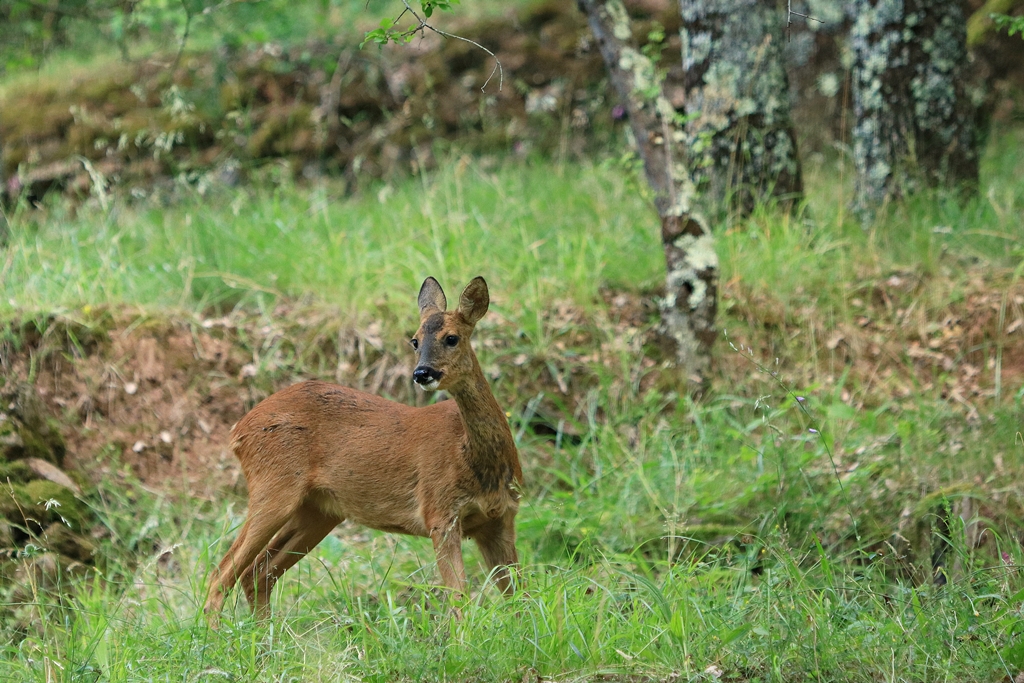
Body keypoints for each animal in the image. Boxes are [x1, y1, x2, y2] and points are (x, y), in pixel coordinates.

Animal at [201, 274, 520, 622]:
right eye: (415, 340)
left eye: (452, 338)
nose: (422, 373)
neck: (478, 461)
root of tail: (238, 430)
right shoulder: (440, 512)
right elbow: (460, 600)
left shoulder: (501, 518)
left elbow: (521, 596)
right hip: (273, 487)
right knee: (221, 574)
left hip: (318, 511)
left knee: (258, 573)